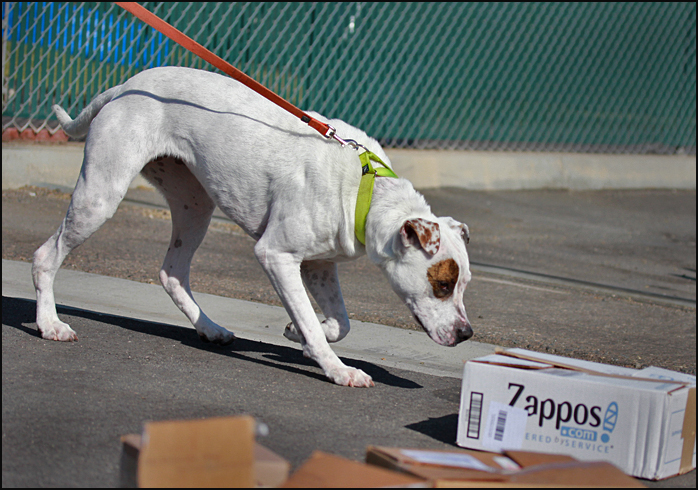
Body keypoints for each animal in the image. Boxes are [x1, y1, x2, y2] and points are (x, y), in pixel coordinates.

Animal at [32, 67, 473, 387]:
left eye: (463, 284)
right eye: (442, 283)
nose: (467, 334)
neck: (363, 190)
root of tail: (125, 86)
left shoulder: (319, 265)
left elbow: (338, 323)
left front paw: (298, 335)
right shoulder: (276, 256)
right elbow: (315, 323)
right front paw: (337, 368)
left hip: (195, 207)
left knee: (172, 272)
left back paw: (209, 328)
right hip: (100, 196)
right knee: (44, 256)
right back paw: (50, 324)